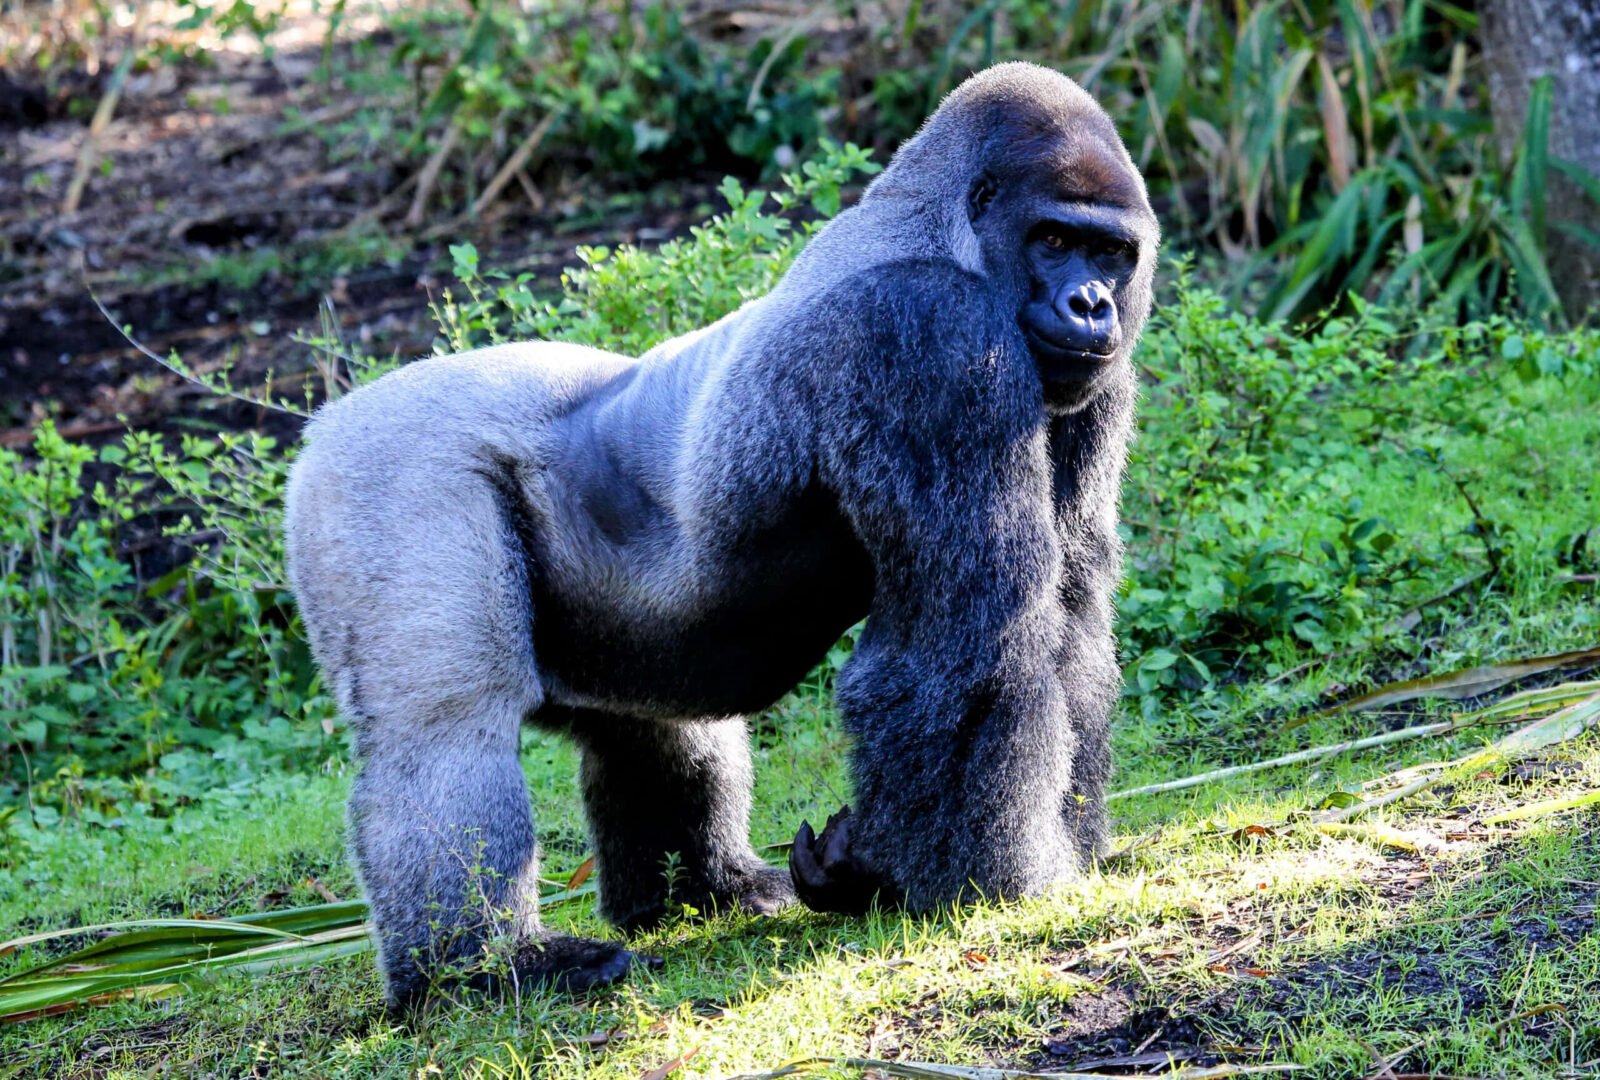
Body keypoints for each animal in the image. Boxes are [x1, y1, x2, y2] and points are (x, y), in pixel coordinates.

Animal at [283, 61, 1158, 1008]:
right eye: (1053, 239)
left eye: (1111, 253)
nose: (1091, 304)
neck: (950, 230)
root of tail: (324, 422)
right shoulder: (930, 335)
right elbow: (971, 644)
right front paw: (979, 885)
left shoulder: (1090, 379)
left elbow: (1068, 617)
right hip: (382, 472)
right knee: (446, 732)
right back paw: (477, 969)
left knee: (654, 723)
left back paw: (704, 891)